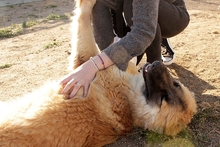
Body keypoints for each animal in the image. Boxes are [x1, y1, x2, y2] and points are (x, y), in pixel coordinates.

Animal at [0, 0, 196, 147]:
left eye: (164, 98)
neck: (130, 102)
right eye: (176, 84)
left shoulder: (84, 59)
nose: (156, 64)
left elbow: (83, 17)